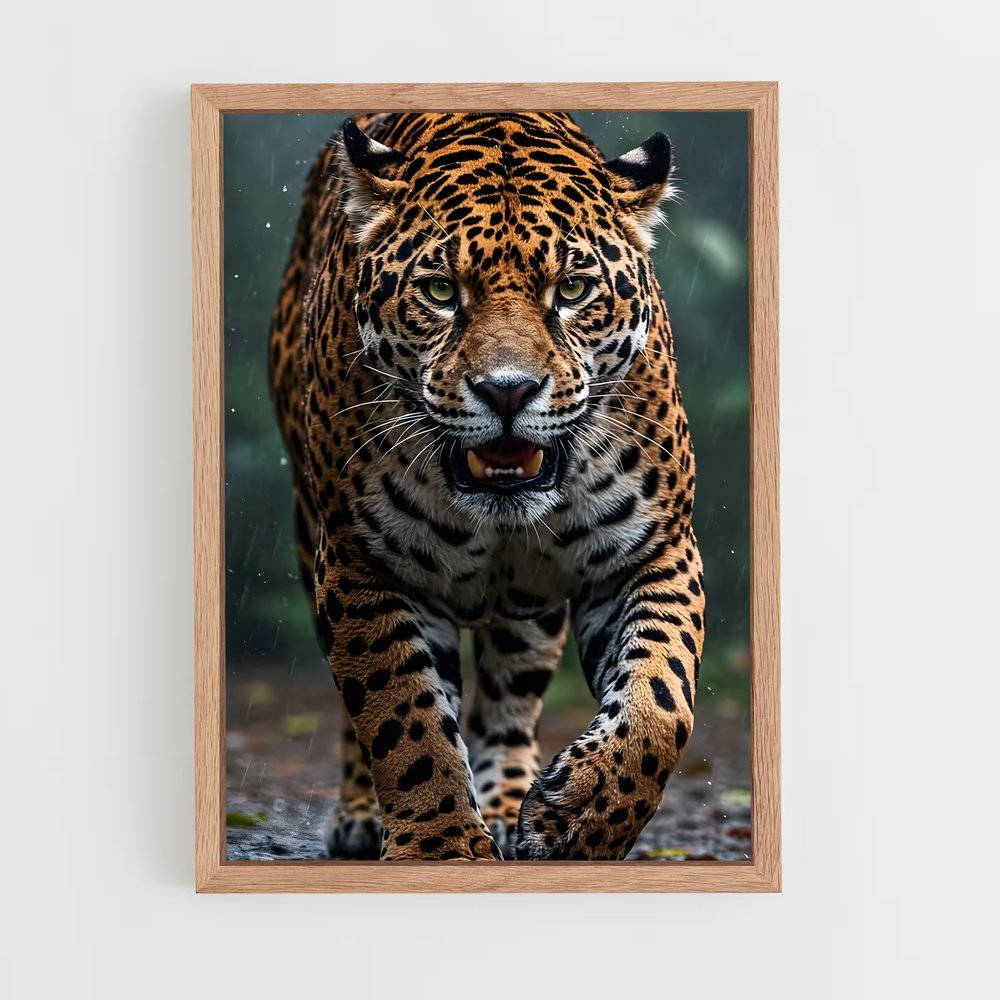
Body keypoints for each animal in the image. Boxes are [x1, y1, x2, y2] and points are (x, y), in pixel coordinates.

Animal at [268, 112, 705, 861]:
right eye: (442, 292)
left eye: (573, 291)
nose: (508, 391)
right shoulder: (360, 564)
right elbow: (402, 716)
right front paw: (438, 848)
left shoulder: (655, 551)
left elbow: (661, 703)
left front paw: (579, 819)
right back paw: (362, 816)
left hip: (530, 606)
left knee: (510, 694)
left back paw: (508, 805)